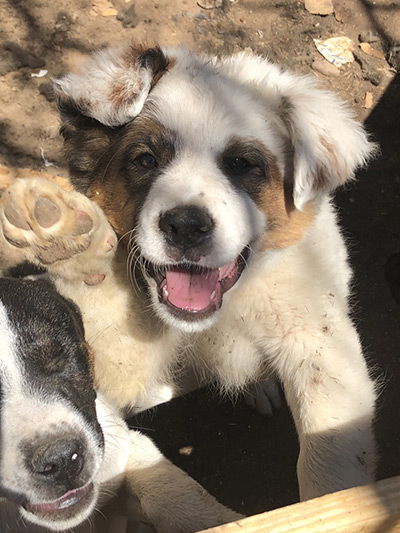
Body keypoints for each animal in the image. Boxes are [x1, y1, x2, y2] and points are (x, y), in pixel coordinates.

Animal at [0, 40, 378, 498]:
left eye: (242, 164)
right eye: (145, 160)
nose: (184, 226)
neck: (221, 316)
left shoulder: (319, 345)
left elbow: (329, 462)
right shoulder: (119, 366)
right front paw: (71, 242)